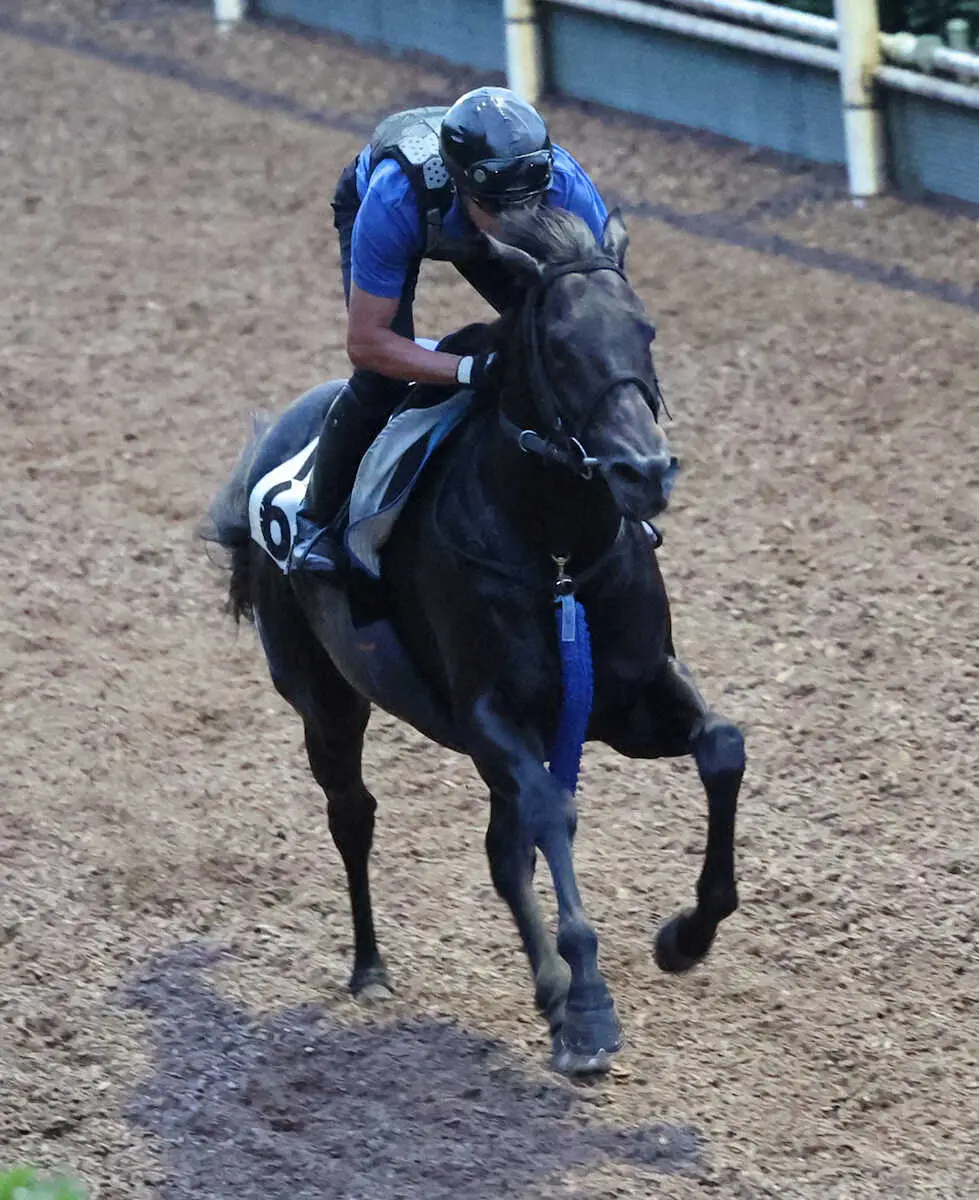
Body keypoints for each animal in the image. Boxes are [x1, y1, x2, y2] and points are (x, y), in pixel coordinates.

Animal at [202, 208, 743, 1080]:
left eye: (645, 330)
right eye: (557, 344)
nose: (643, 470)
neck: (554, 556)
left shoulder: (631, 701)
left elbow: (722, 747)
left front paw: (682, 939)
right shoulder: (492, 718)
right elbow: (553, 812)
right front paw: (589, 1010)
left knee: (499, 849)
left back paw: (546, 986)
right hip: (326, 703)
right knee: (354, 815)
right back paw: (372, 968)